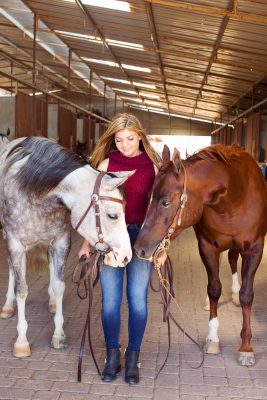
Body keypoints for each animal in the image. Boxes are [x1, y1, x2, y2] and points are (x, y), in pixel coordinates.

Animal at [0, 137, 133, 356]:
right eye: (112, 215)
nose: (126, 256)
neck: (35, 190)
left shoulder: (62, 241)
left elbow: (59, 285)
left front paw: (58, 334)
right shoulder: (15, 243)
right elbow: (22, 290)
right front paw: (21, 342)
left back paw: (53, 302)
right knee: (11, 268)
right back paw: (8, 306)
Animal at [136, 145, 267, 368]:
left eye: (166, 202)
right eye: (148, 197)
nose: (140, 249)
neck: (234, 196)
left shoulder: (255, 249)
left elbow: (247, 295)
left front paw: (246, 347)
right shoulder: (206, 246)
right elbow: (214, 288)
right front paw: (212, 338)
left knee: (233, 261)